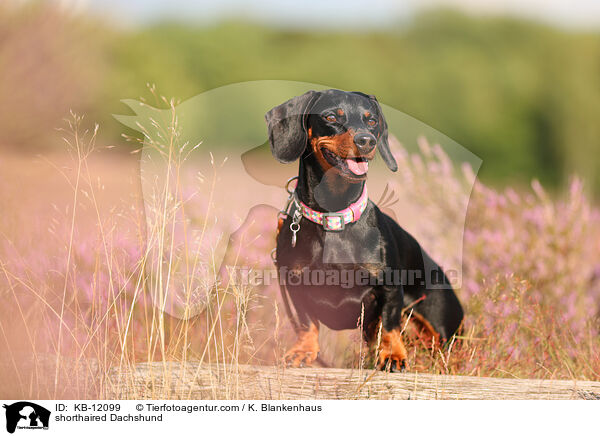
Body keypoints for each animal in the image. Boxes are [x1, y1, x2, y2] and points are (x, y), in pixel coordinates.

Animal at [268, 89, 464, 372]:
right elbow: (306, 323)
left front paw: (393, 356)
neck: (334, 216)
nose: (366, 141)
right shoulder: (295, 285)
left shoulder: (389, 287)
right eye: (331, 117)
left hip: (441, 322)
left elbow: (390, 325)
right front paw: (303, 352)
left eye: (371, 120)